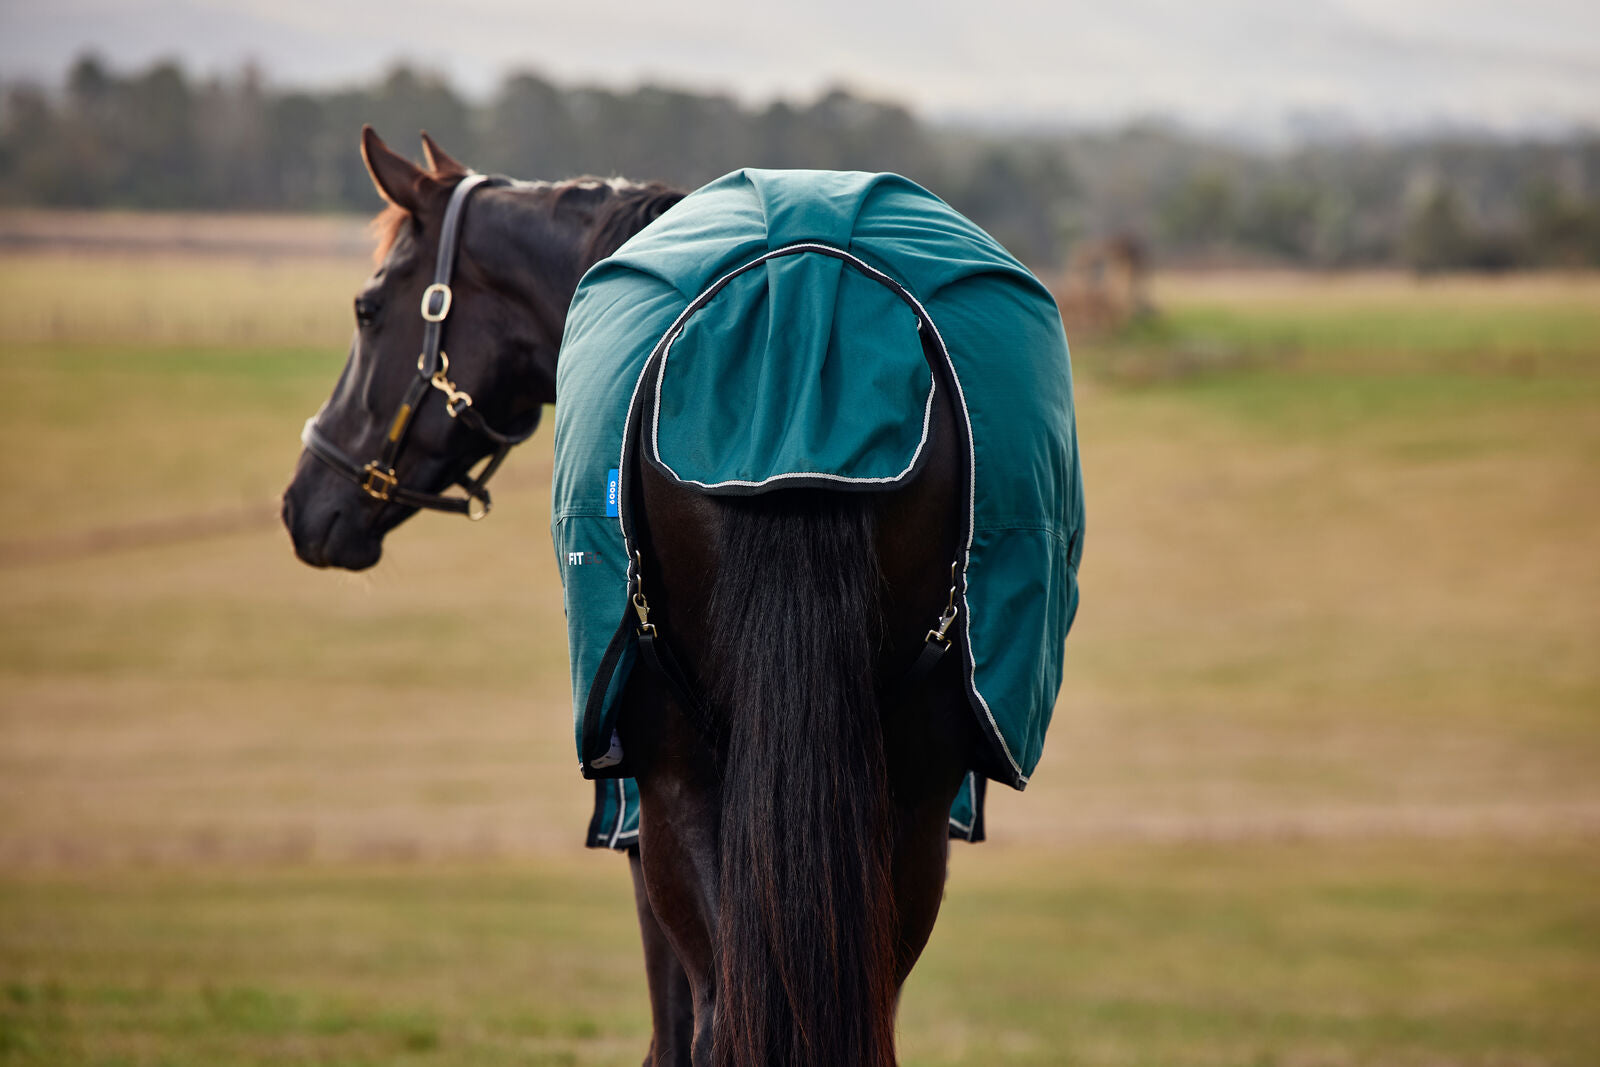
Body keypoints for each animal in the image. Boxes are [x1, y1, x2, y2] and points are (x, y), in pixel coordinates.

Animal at [284, 129, 1079, 1067]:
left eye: (370, 308)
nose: (305, 502)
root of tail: (807, 294)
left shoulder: (642, 831)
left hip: (681, 795)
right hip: (906, 805)